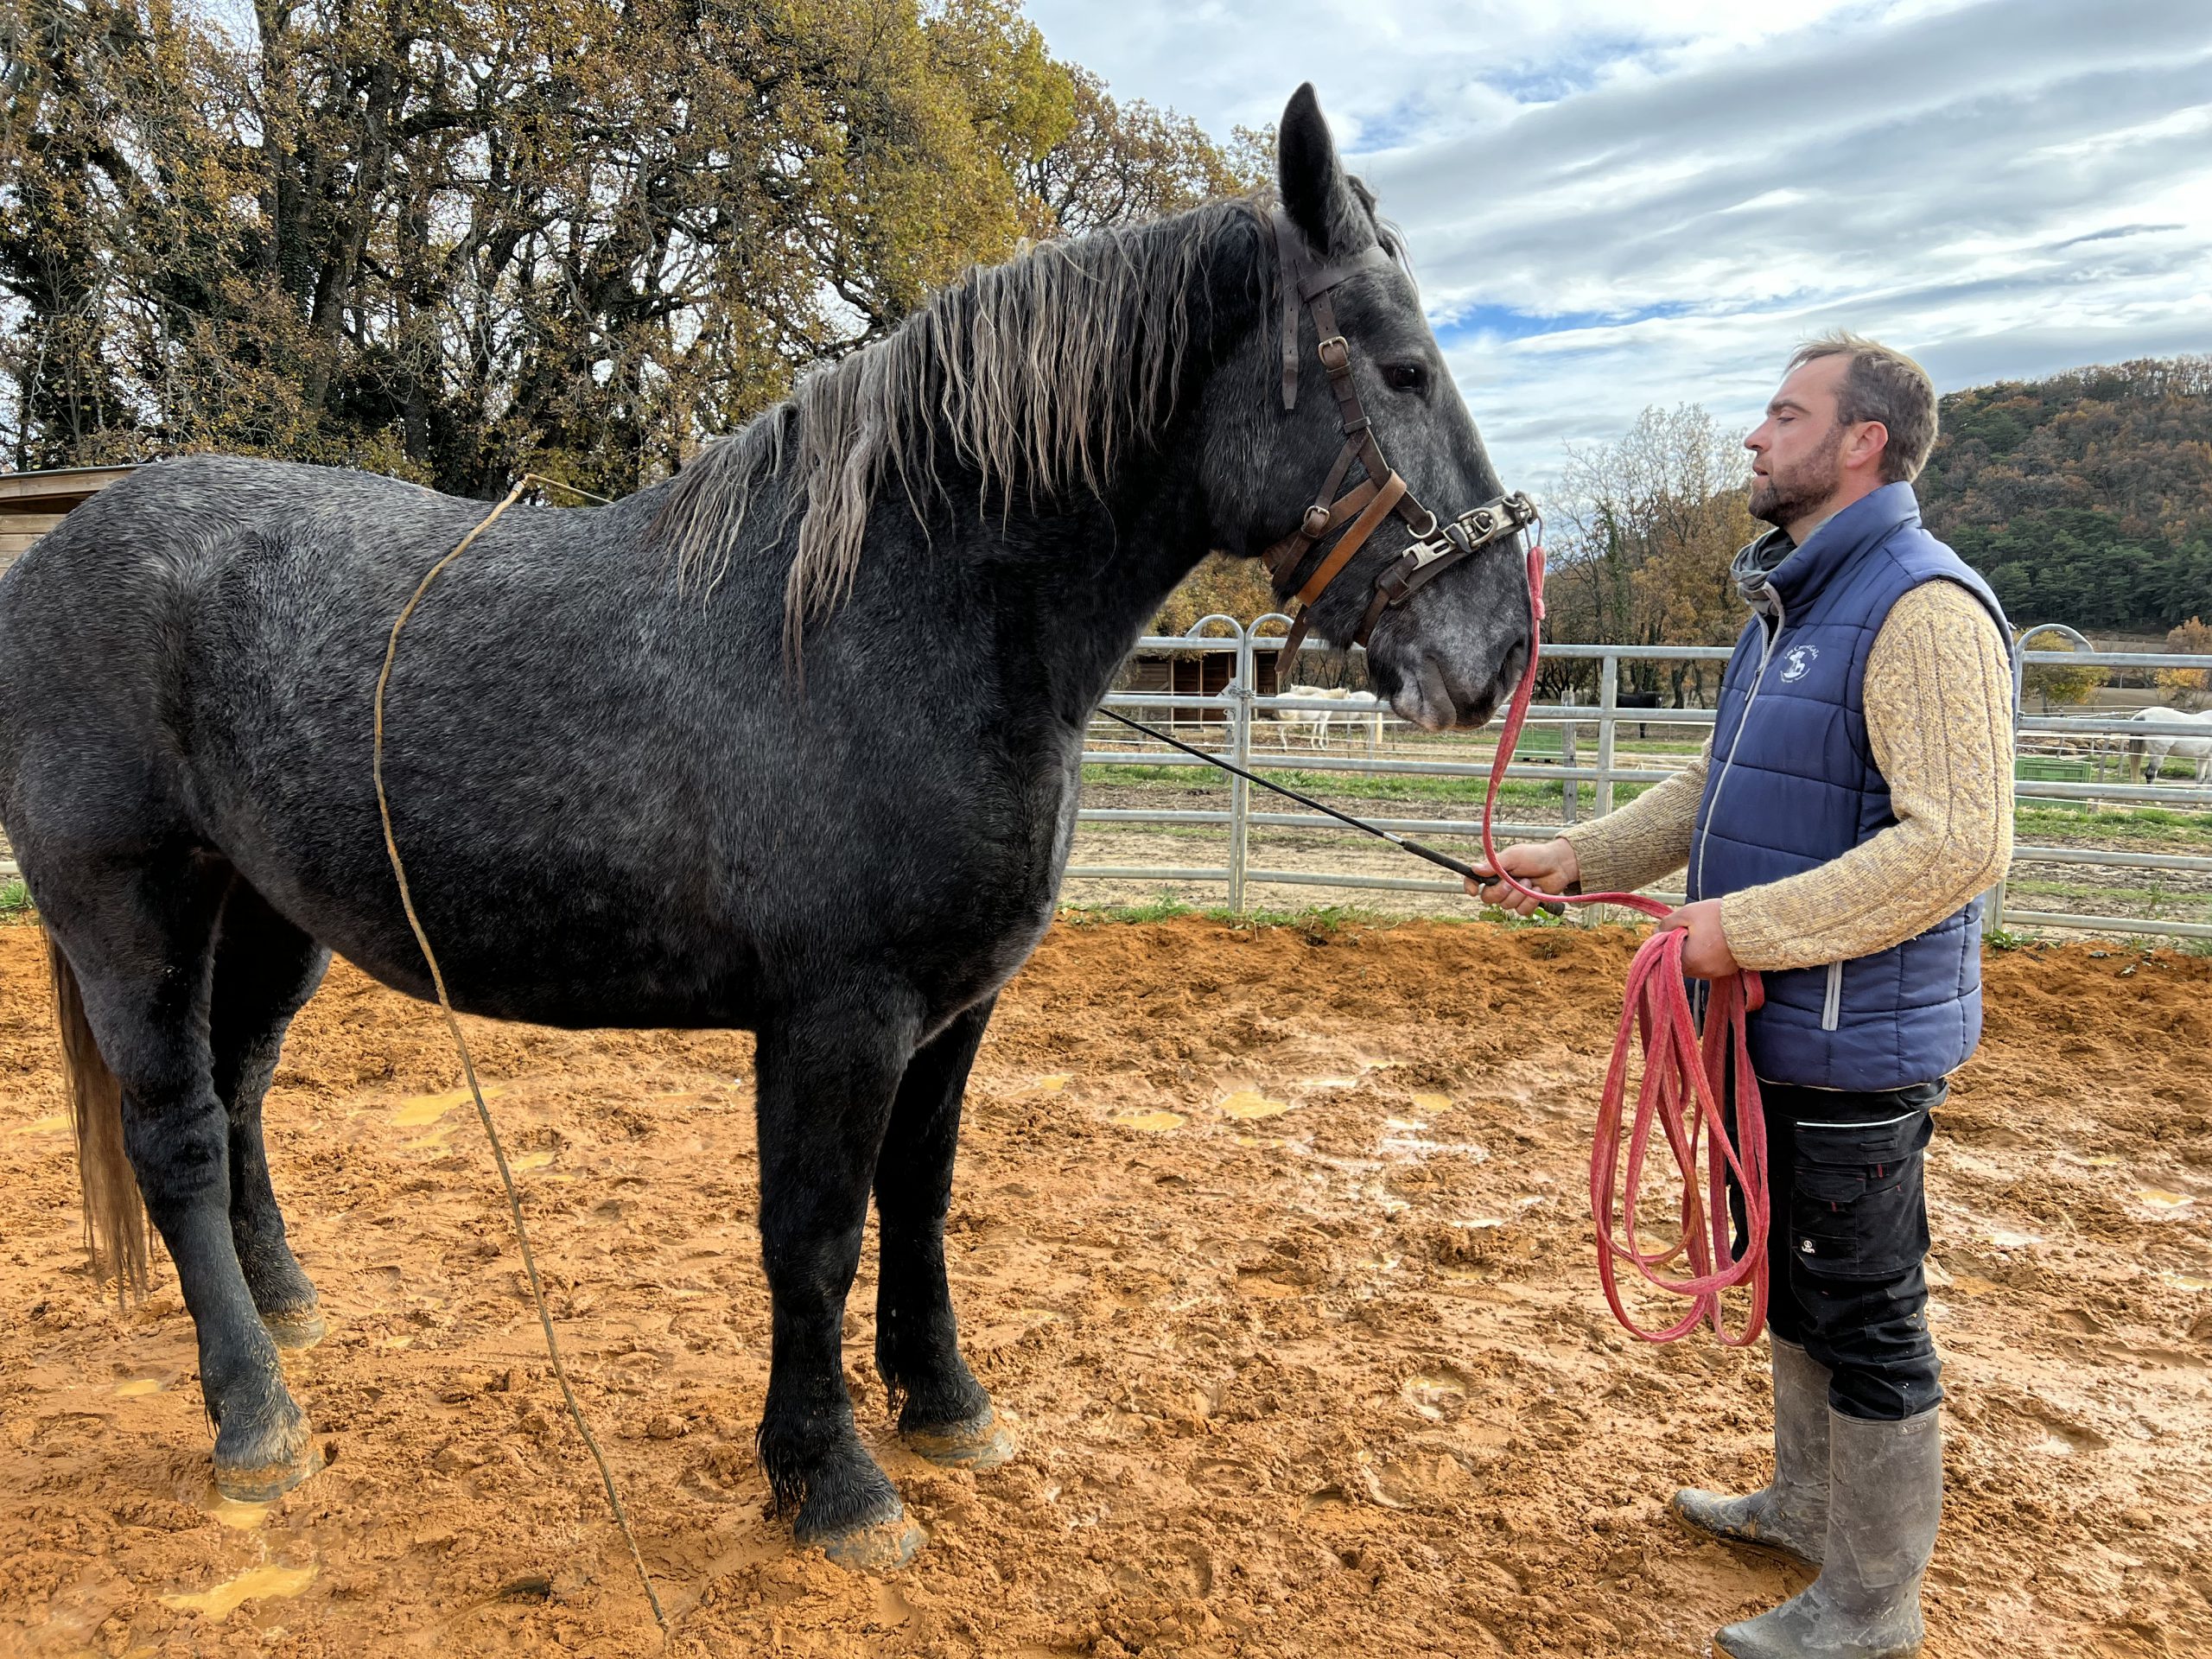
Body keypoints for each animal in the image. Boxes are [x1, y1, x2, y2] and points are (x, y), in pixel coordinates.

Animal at [0, 87, 1539, 1574]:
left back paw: (287, 1313)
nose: (1501, 652)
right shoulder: (838, 1016)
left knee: (241, 1094)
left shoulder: (953, 1011)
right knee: (177, 1136)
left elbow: (920, 1199)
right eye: (1403, 367)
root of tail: (54, 557)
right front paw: (834, 1483)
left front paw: (948, 1408)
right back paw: (256, 1417)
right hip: (124, 910)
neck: (891, 620)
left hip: (263, 913)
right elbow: (815, 1238)